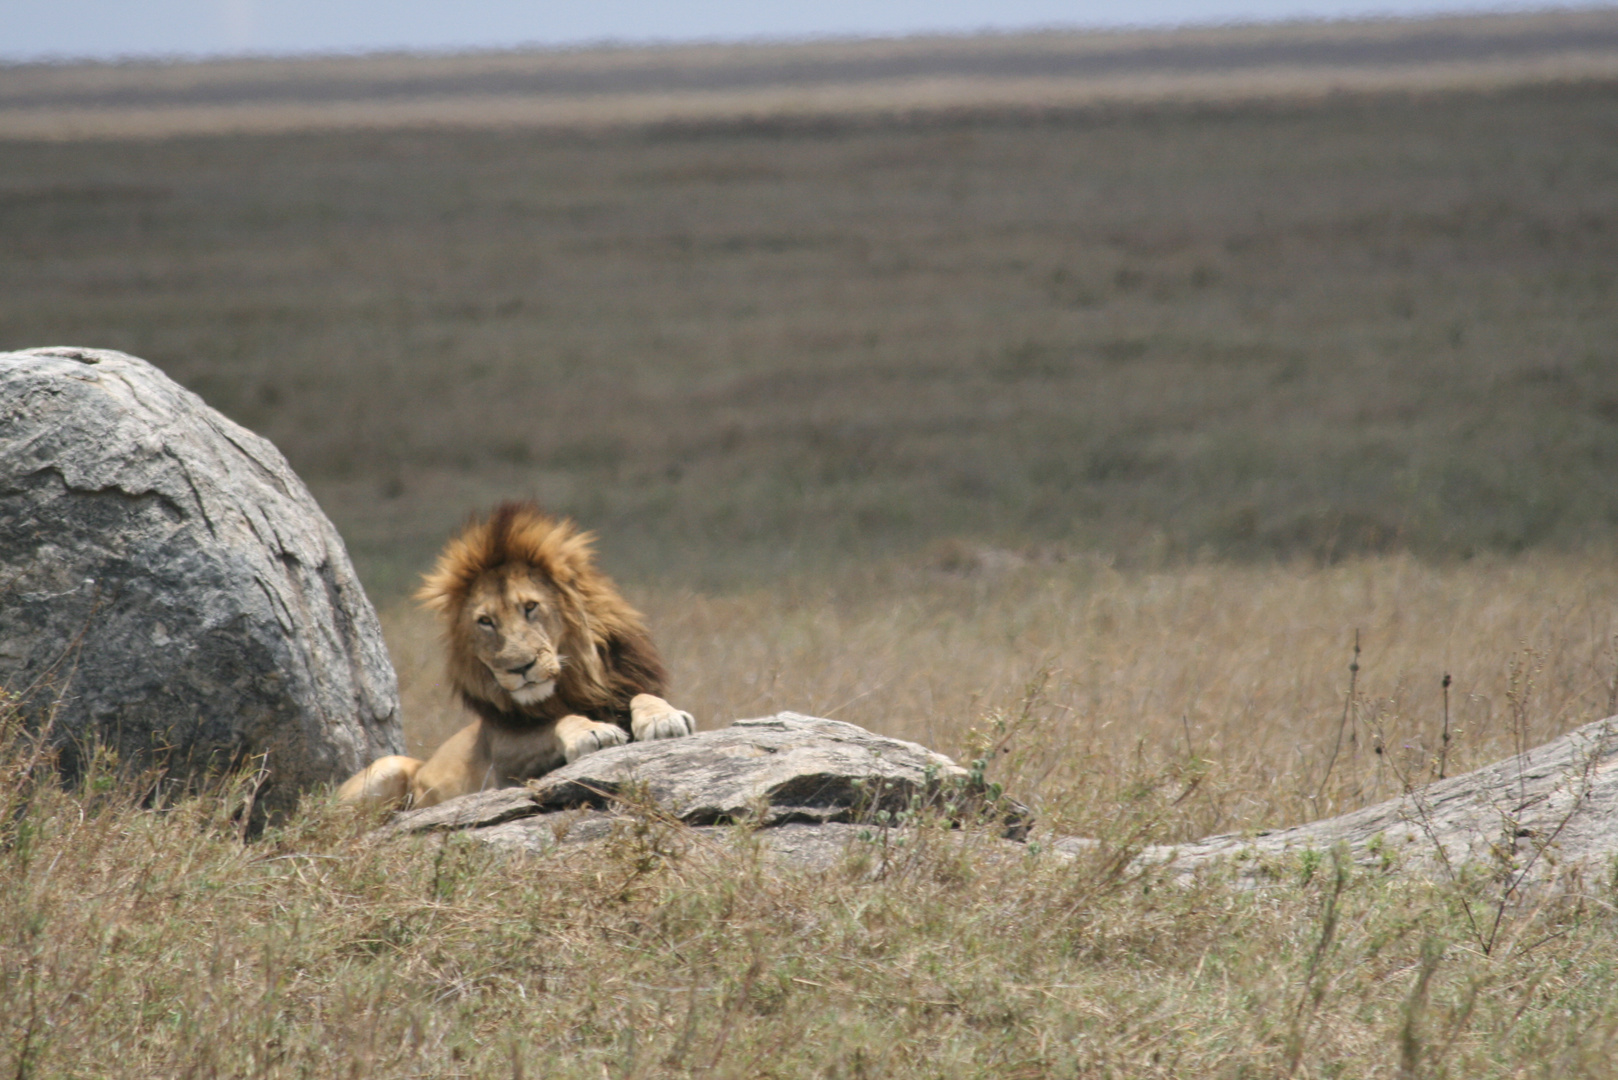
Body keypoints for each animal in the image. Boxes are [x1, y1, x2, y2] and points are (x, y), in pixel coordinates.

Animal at [338, 501, 692, 809]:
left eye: (530, 607)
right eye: (485, 621)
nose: (520, 667)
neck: (575, 687)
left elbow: (644, 696)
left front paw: (663, 719)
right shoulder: (503, 755)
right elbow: (553, 723)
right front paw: (593, 731)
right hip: (389, 767)